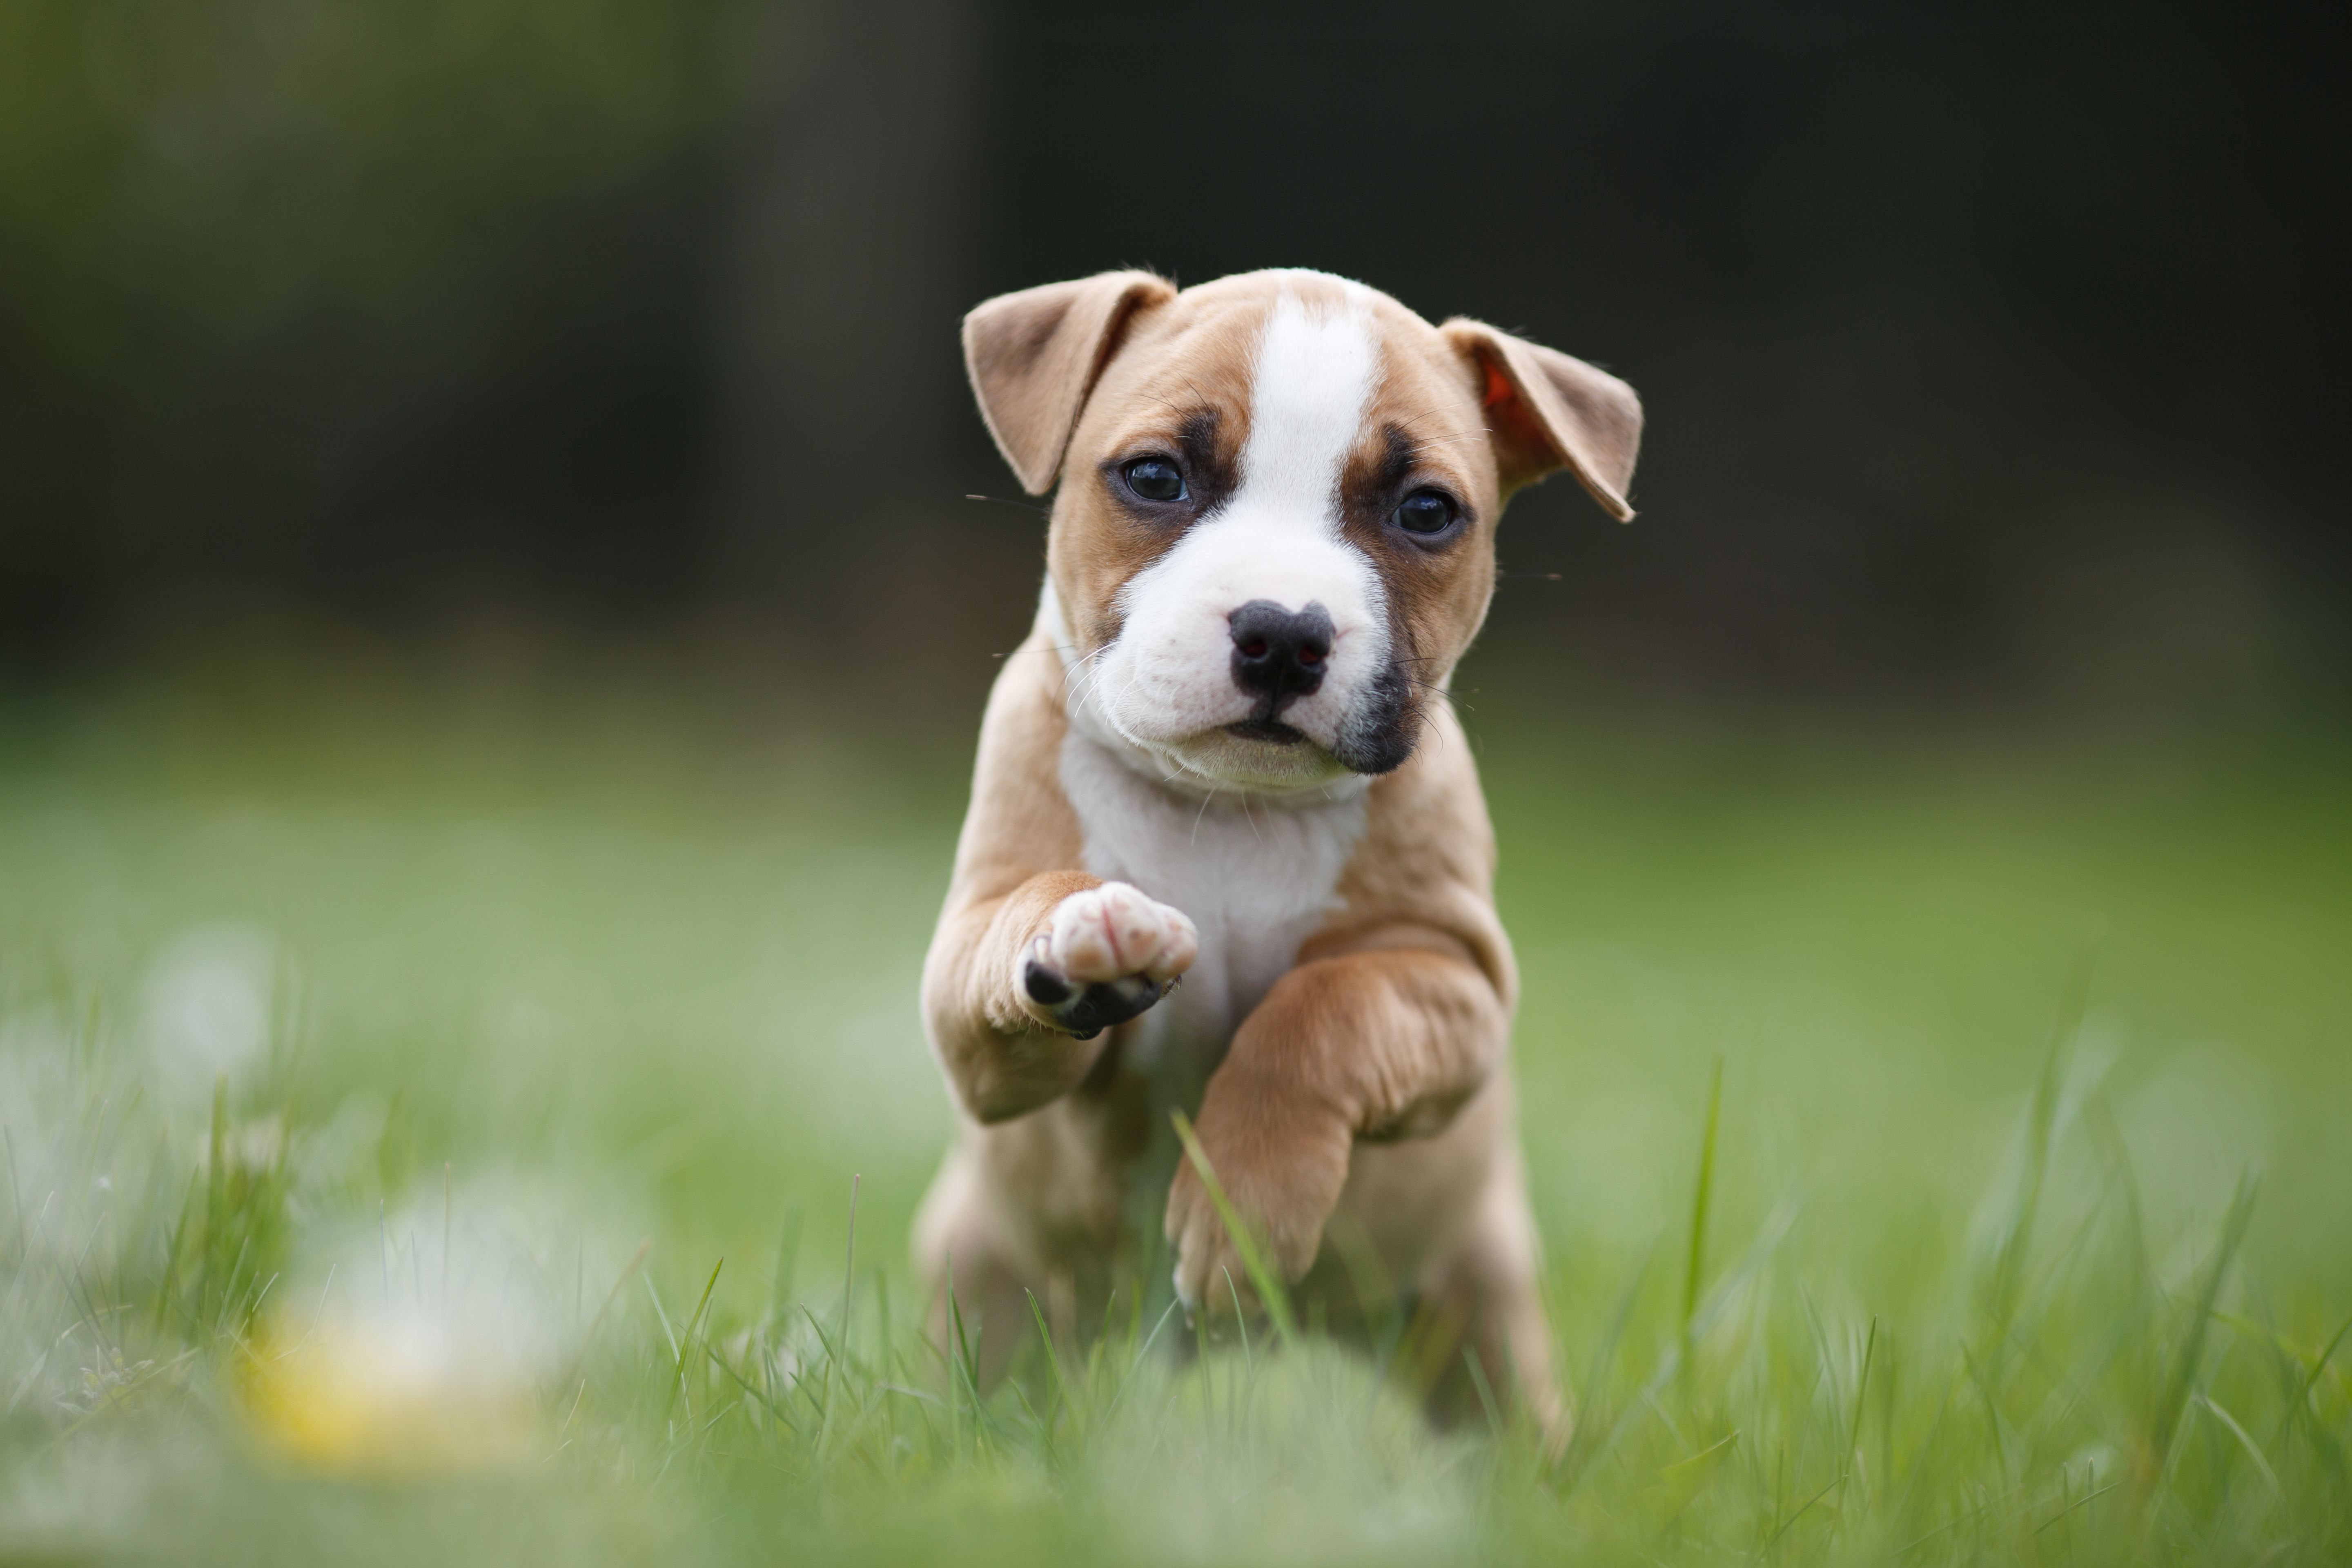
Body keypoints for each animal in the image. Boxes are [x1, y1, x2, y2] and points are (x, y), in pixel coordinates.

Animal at [908, 267, 1646, 1420]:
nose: (1284, 633)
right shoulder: (967, 1001)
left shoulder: (1457, 983)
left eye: (1425, 511)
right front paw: (1081, 937)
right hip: (985, 1289)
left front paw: (1241, 1215)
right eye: (1154, 476)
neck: (1232, 814)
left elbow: (1324, 1009)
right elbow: (1016, 927)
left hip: (1479, 1326)